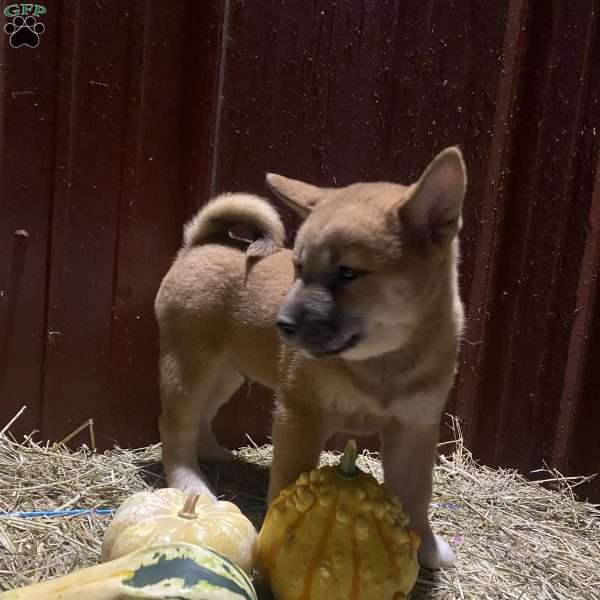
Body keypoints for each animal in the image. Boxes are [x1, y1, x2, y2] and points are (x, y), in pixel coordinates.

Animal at [157, 146, 466, 568]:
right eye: (299, 268)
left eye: (348, 273)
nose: (282, 324)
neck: (381, 362)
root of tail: (201, 243)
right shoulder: (300, 415)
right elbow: (287, 482)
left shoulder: (413, 428)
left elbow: (416, 496)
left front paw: (426, 547)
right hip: (190, 367)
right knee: (176, 427)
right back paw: (190, 483)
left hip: (226, 374)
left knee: (202, 417)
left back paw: (213, 453)